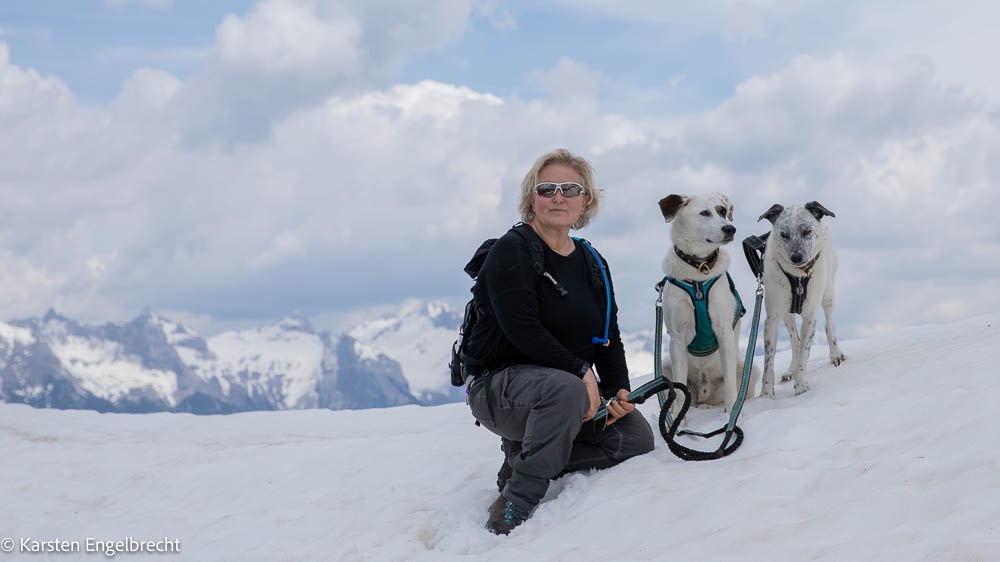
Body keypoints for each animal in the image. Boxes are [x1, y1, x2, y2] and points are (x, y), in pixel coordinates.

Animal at [656, 192, 756, 412]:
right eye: (704, 213)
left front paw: (731, 416)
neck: (699, 269)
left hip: (750, 367)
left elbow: (730, 387)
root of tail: (703, 394)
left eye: (722, 211)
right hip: (664, 366)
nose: (730, 229)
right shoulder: (677, 338)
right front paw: (679, 419)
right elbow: (679, 390)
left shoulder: (724, 331)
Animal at [756, 199, 844, 396]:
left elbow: (805, 351)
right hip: (786, 313)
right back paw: (791, 370)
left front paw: (801, 387)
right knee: (794, 340)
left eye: (807, 231)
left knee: (829, 324)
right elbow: (769, 359)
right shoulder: (772, 317)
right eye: (783, 234)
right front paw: (766, 394)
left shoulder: (810, 316)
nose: (796, 257)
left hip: (828, 294)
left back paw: (835, 354)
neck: (797, 276)